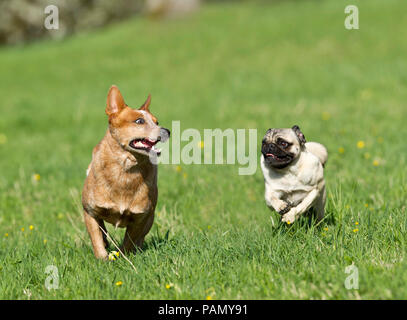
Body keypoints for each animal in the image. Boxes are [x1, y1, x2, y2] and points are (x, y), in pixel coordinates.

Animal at [81, 85, 171, 260]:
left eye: (157, 122)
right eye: (139, 121)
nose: (167, 131)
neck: (126, 169)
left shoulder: (141, 217)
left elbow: (129, 241)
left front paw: (124, 256)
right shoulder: (89, 210)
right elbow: (96, 237)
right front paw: (103, 258)